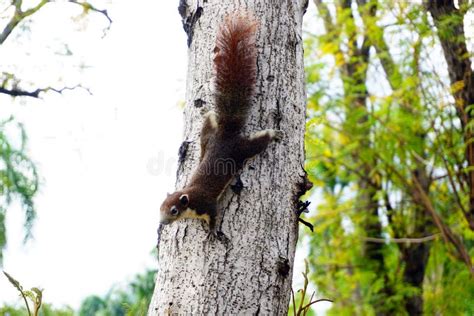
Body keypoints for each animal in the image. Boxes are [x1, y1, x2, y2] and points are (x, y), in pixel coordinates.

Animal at [161, 12, 284, 239]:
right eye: (160, 207)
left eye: (173, 210)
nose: (163, 222)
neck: (190, 198)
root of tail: (226, 133)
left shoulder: (207, 204)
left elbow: (214, 216)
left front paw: (211, 232)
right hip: (208, 137)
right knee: (208, 126)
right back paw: (207, 113)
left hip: (241, 149)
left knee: (258, 143)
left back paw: (274, 134)